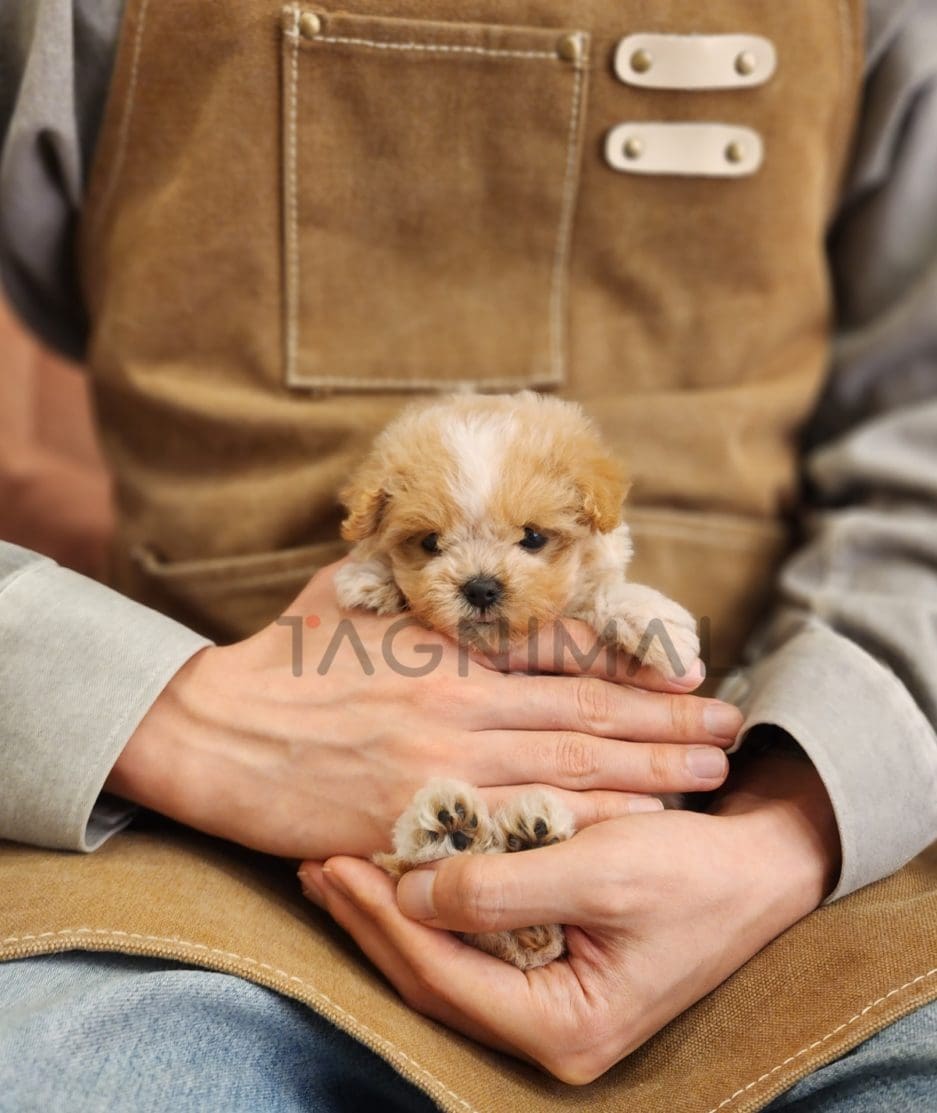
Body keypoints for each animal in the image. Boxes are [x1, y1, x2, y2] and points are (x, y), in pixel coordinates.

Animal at [333, 391, 694, 966]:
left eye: (533, 538)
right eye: (429, 542)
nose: (480, 587)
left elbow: (605, 594)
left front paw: (654, 622)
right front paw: (369, 578)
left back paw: (523, 834)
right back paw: (446, 825)